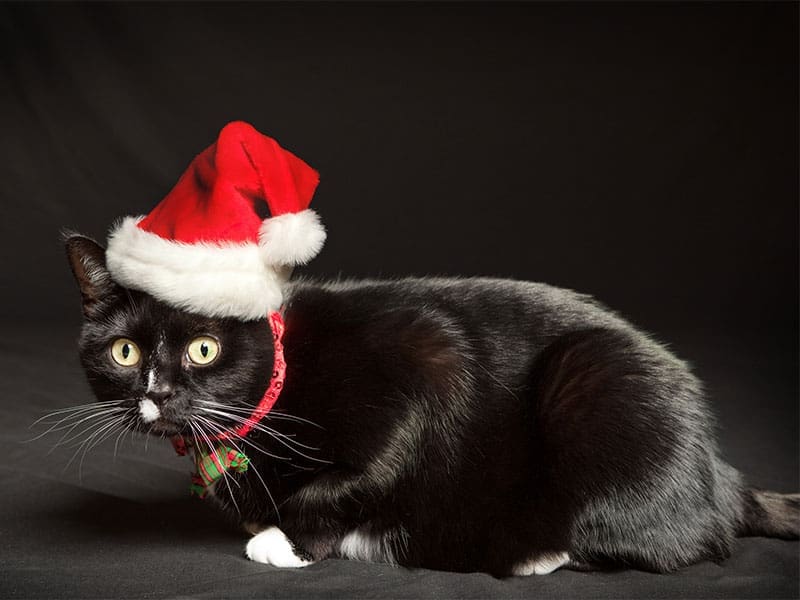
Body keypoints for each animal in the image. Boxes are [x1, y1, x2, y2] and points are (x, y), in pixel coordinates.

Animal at [64, 233, 800, 576]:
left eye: (204, 349)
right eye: (124, 352)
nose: (159, 393)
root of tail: (722, 474)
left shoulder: (426, 358)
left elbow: (356, 475)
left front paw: (289, 540)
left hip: (596, 381)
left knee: (683, 541)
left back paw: (530, 551)